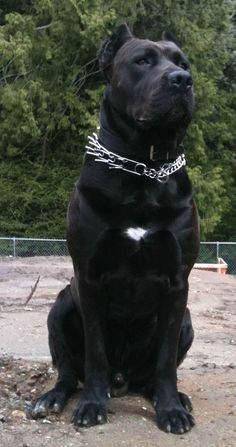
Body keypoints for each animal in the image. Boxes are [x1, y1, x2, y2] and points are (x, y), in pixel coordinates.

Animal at [32, 23, 200, 434]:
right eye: (142, 61)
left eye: (184, 63)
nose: (182, 80)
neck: (143, 166)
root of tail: (123, 380)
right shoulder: (89, 278)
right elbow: (95, 353)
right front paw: (92, 404)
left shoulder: (178, 282)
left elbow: (165, 362)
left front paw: (171, 409)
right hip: (61, 304)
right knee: (68, 370)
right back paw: (52, 398)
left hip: (187, 319)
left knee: (153, 373)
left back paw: (174, 397)